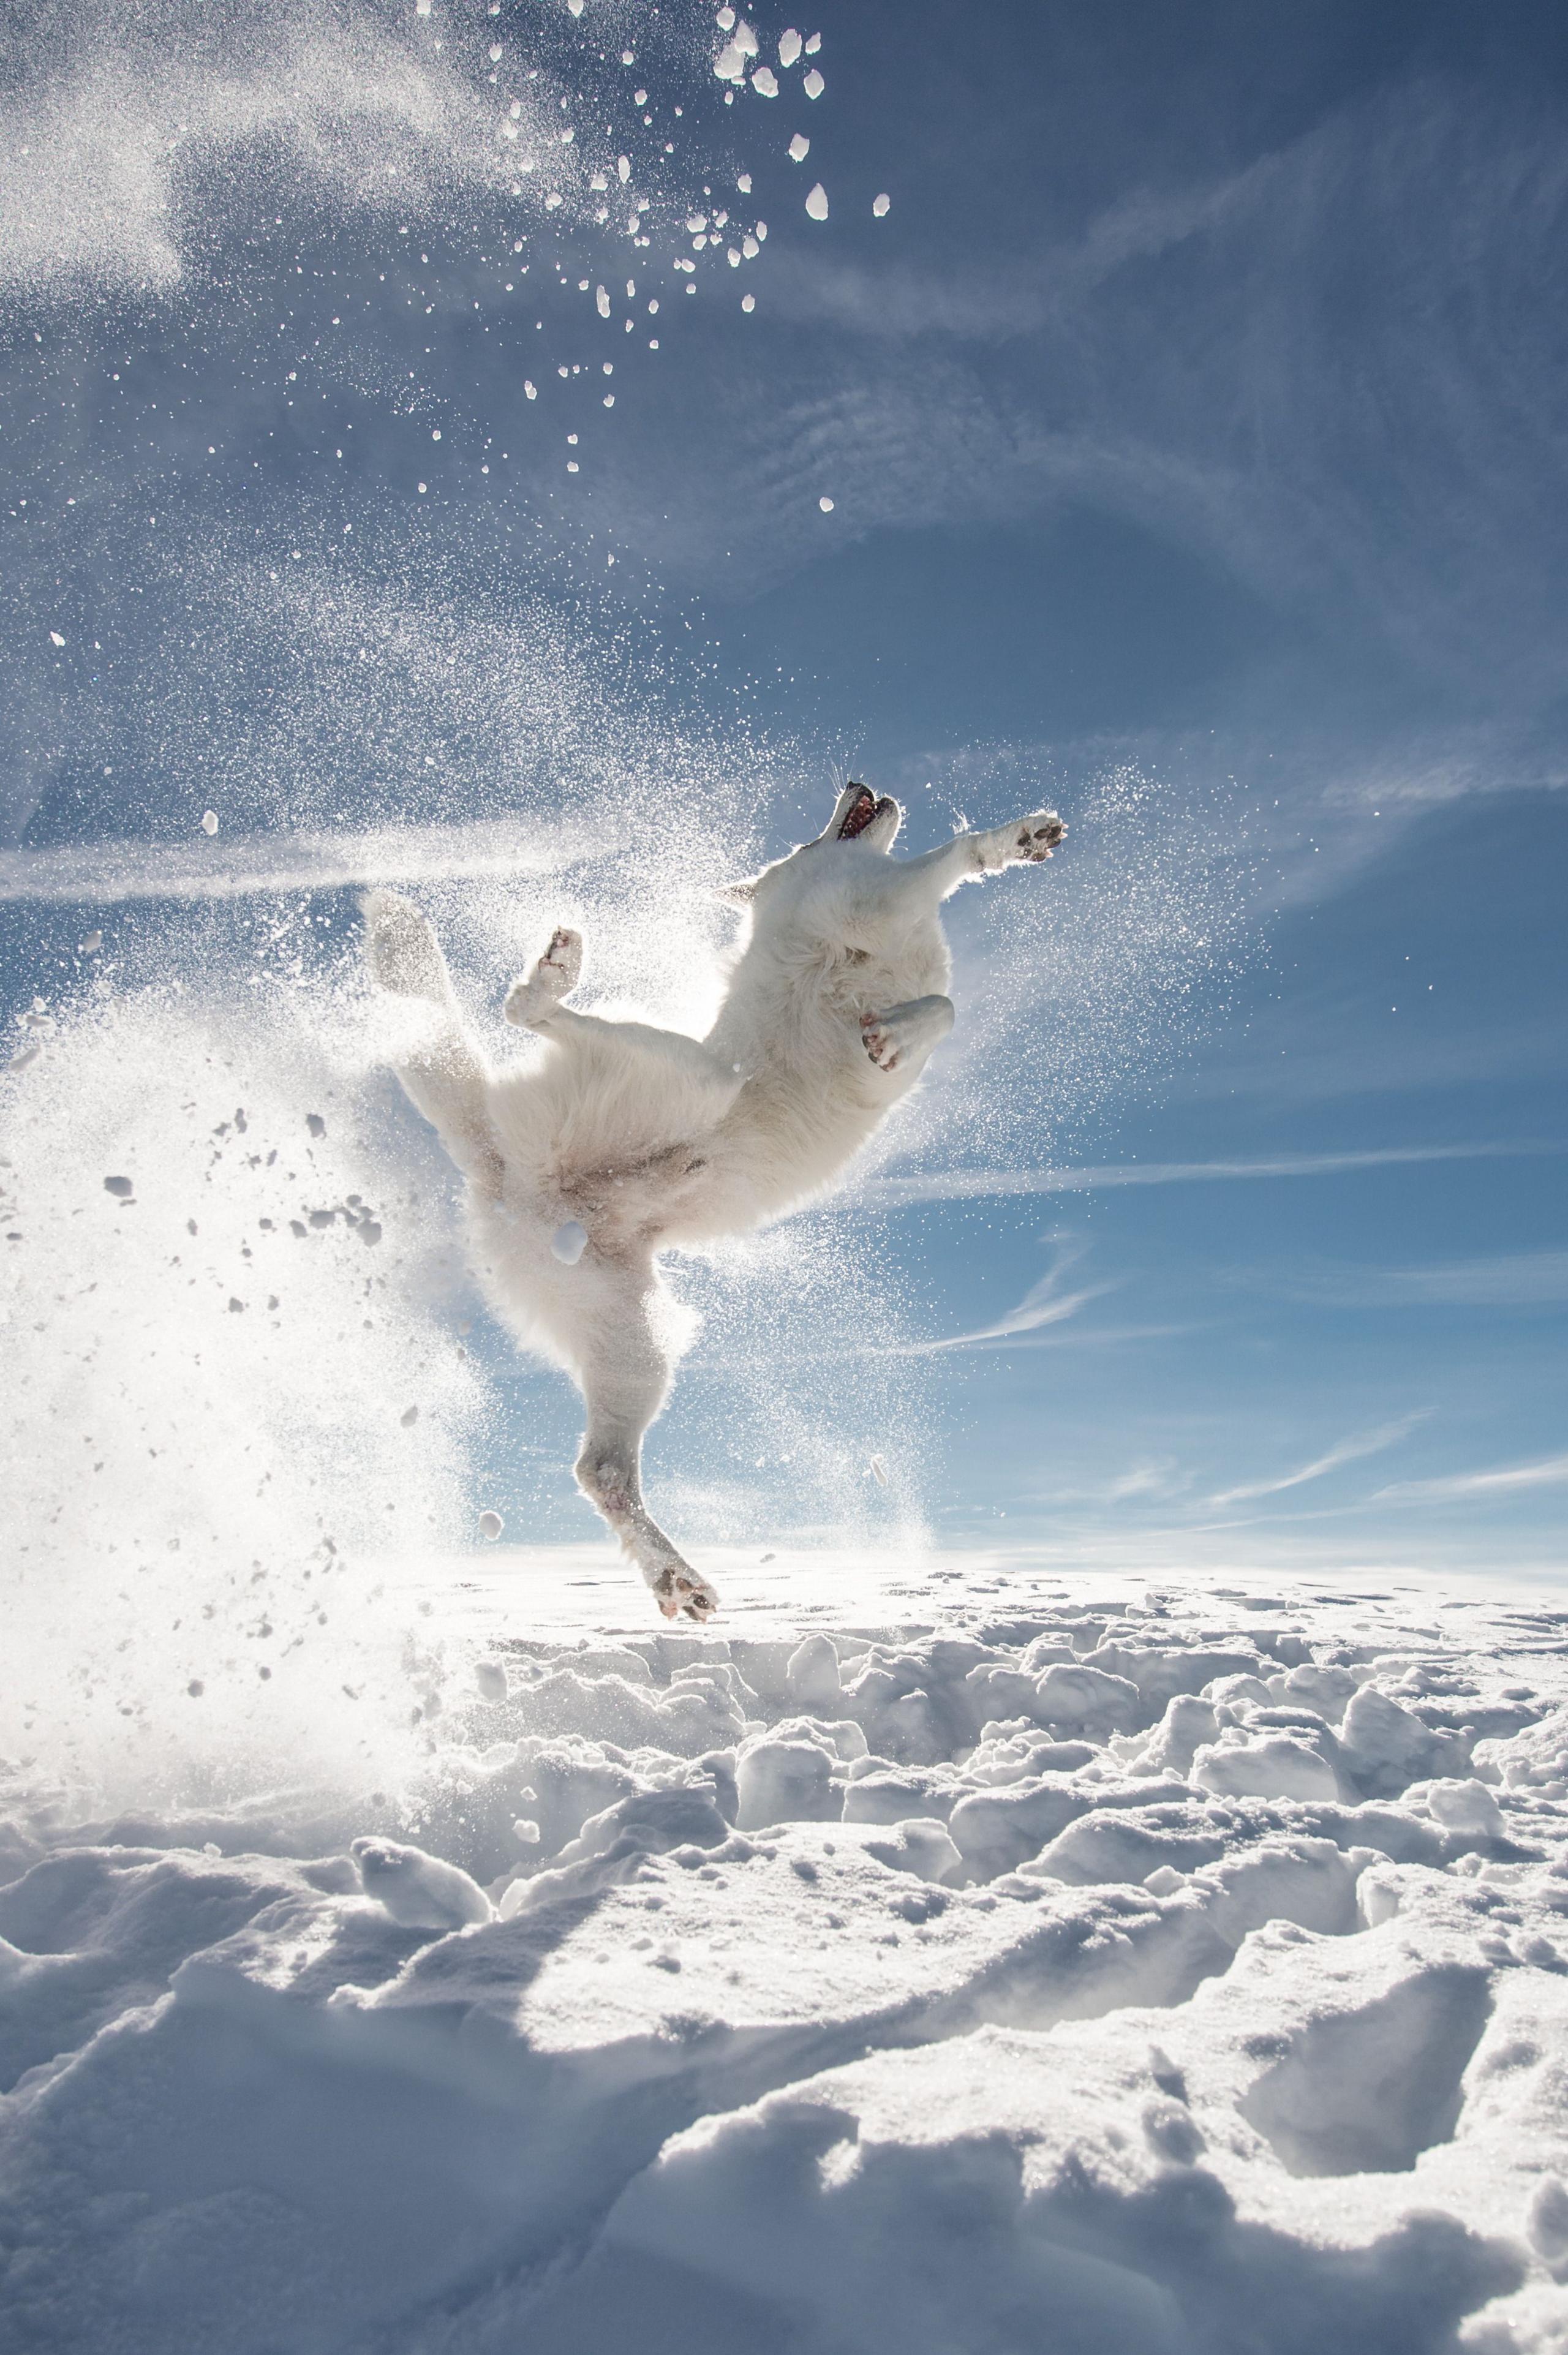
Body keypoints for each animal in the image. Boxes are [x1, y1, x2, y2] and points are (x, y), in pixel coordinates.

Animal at [362, 786, 1064, 1620]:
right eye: (806, 837)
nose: (857, 785)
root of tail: (502, 1167)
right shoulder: (876, 896)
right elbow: (948, 899)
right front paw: (1013, 845)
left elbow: (947, 1003)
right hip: (700, 1076)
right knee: (522, 1014)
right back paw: (554, 971)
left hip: (635, 1344)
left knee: (601, 1470)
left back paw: (677, 1579)